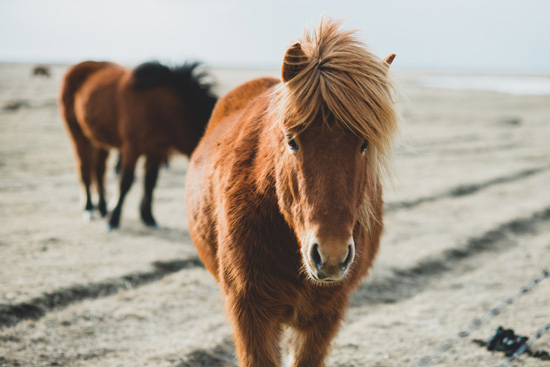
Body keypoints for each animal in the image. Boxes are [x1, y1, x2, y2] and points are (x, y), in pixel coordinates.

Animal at [58, 62, 218, 231]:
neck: (161, 108)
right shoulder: (131, 149)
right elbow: (125, 182)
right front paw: (113, 220)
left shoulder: (157, 152)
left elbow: (150, 183)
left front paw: (148, 218)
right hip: (78, 135)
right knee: (85, 169)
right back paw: (89, 208)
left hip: (100, 141)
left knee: (99, 171)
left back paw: (102, 208)